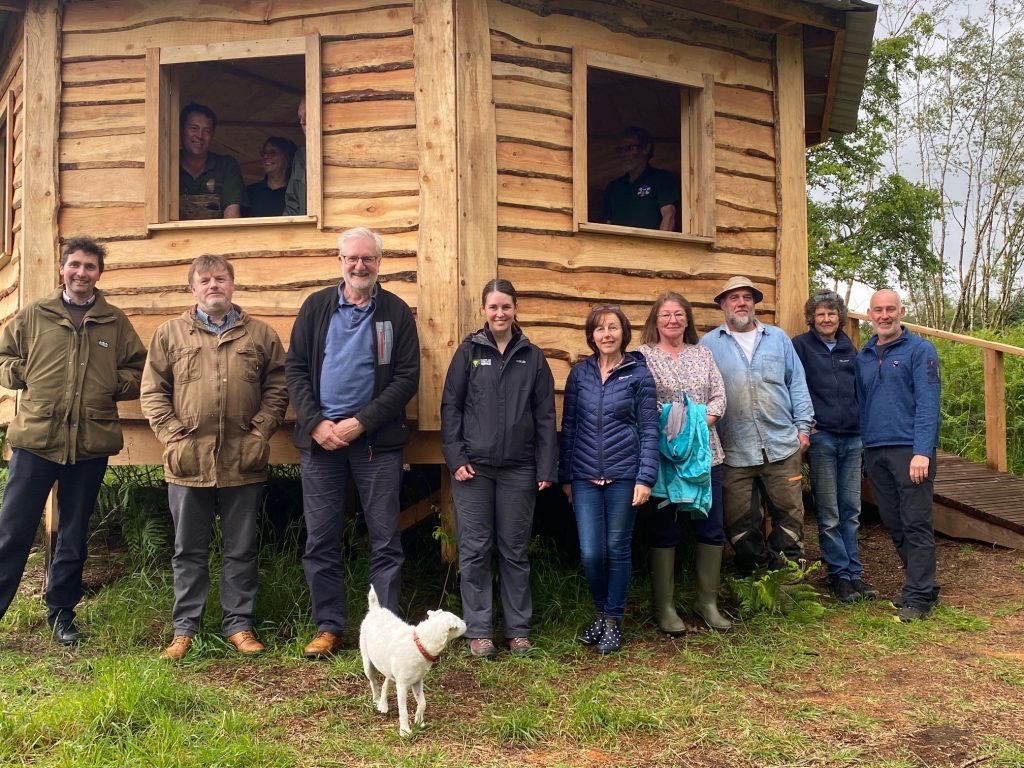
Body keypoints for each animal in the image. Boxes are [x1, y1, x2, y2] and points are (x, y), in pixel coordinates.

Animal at [358, 589, 466, 741]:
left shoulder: (417, 681)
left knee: (385, 682)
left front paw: (419, 721)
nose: (466, 622)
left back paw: (383, 704)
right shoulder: (402, 686)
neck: (420, 644)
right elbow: (403, 710)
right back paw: (376, 700)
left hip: (389, 669)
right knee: (373, 682)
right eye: (459, 622)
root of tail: (375, 609)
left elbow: (422, 703)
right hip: (368, 664)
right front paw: (405, 731)